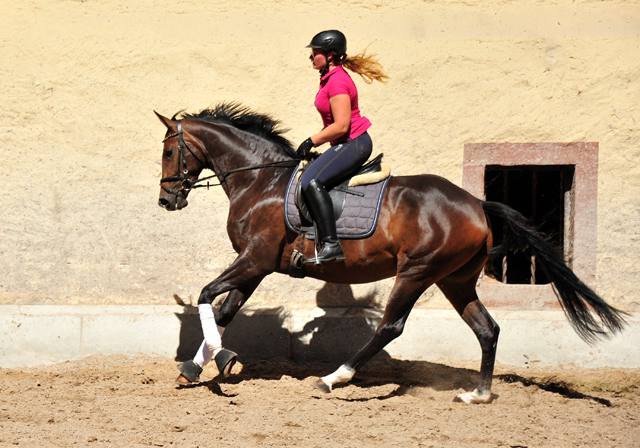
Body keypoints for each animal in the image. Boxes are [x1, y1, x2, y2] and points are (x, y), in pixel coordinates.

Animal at [155, 103, 624, 404]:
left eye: (169, 151)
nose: (166, 201)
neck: (260, 181)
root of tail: (476, 204)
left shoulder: (254, 259)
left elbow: (207, 295)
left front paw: (219, 358)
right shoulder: (257, 266)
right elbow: (224, 310)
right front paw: (197, 366)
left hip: (416, 272)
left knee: (390, 327)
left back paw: (333, 379)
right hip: (454, 279)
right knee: (487, 329)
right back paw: (478, 394)